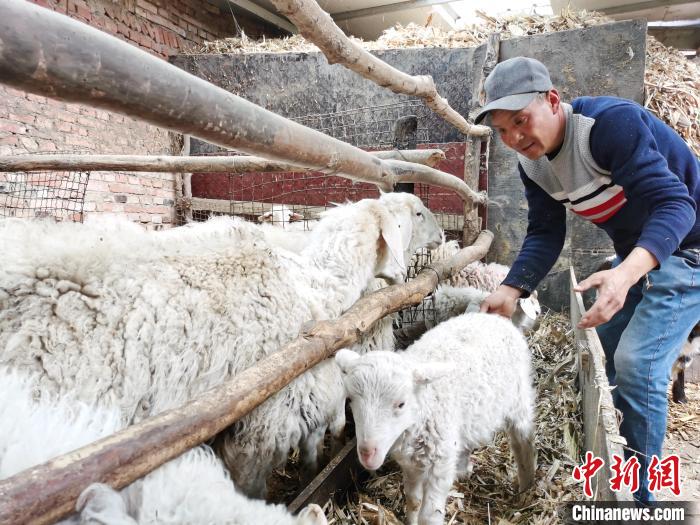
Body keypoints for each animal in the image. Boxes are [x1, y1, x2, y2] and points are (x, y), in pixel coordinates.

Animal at [336, 312, 537, 525]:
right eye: (350, 399)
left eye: (401, 404)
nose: (367, 453)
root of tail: (493, 317)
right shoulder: (411, 464)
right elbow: (413, 500)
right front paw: (410, 520)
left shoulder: (439, 466)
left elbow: (429, 516)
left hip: (518, 397)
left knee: (522, 440)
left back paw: (526, 487)